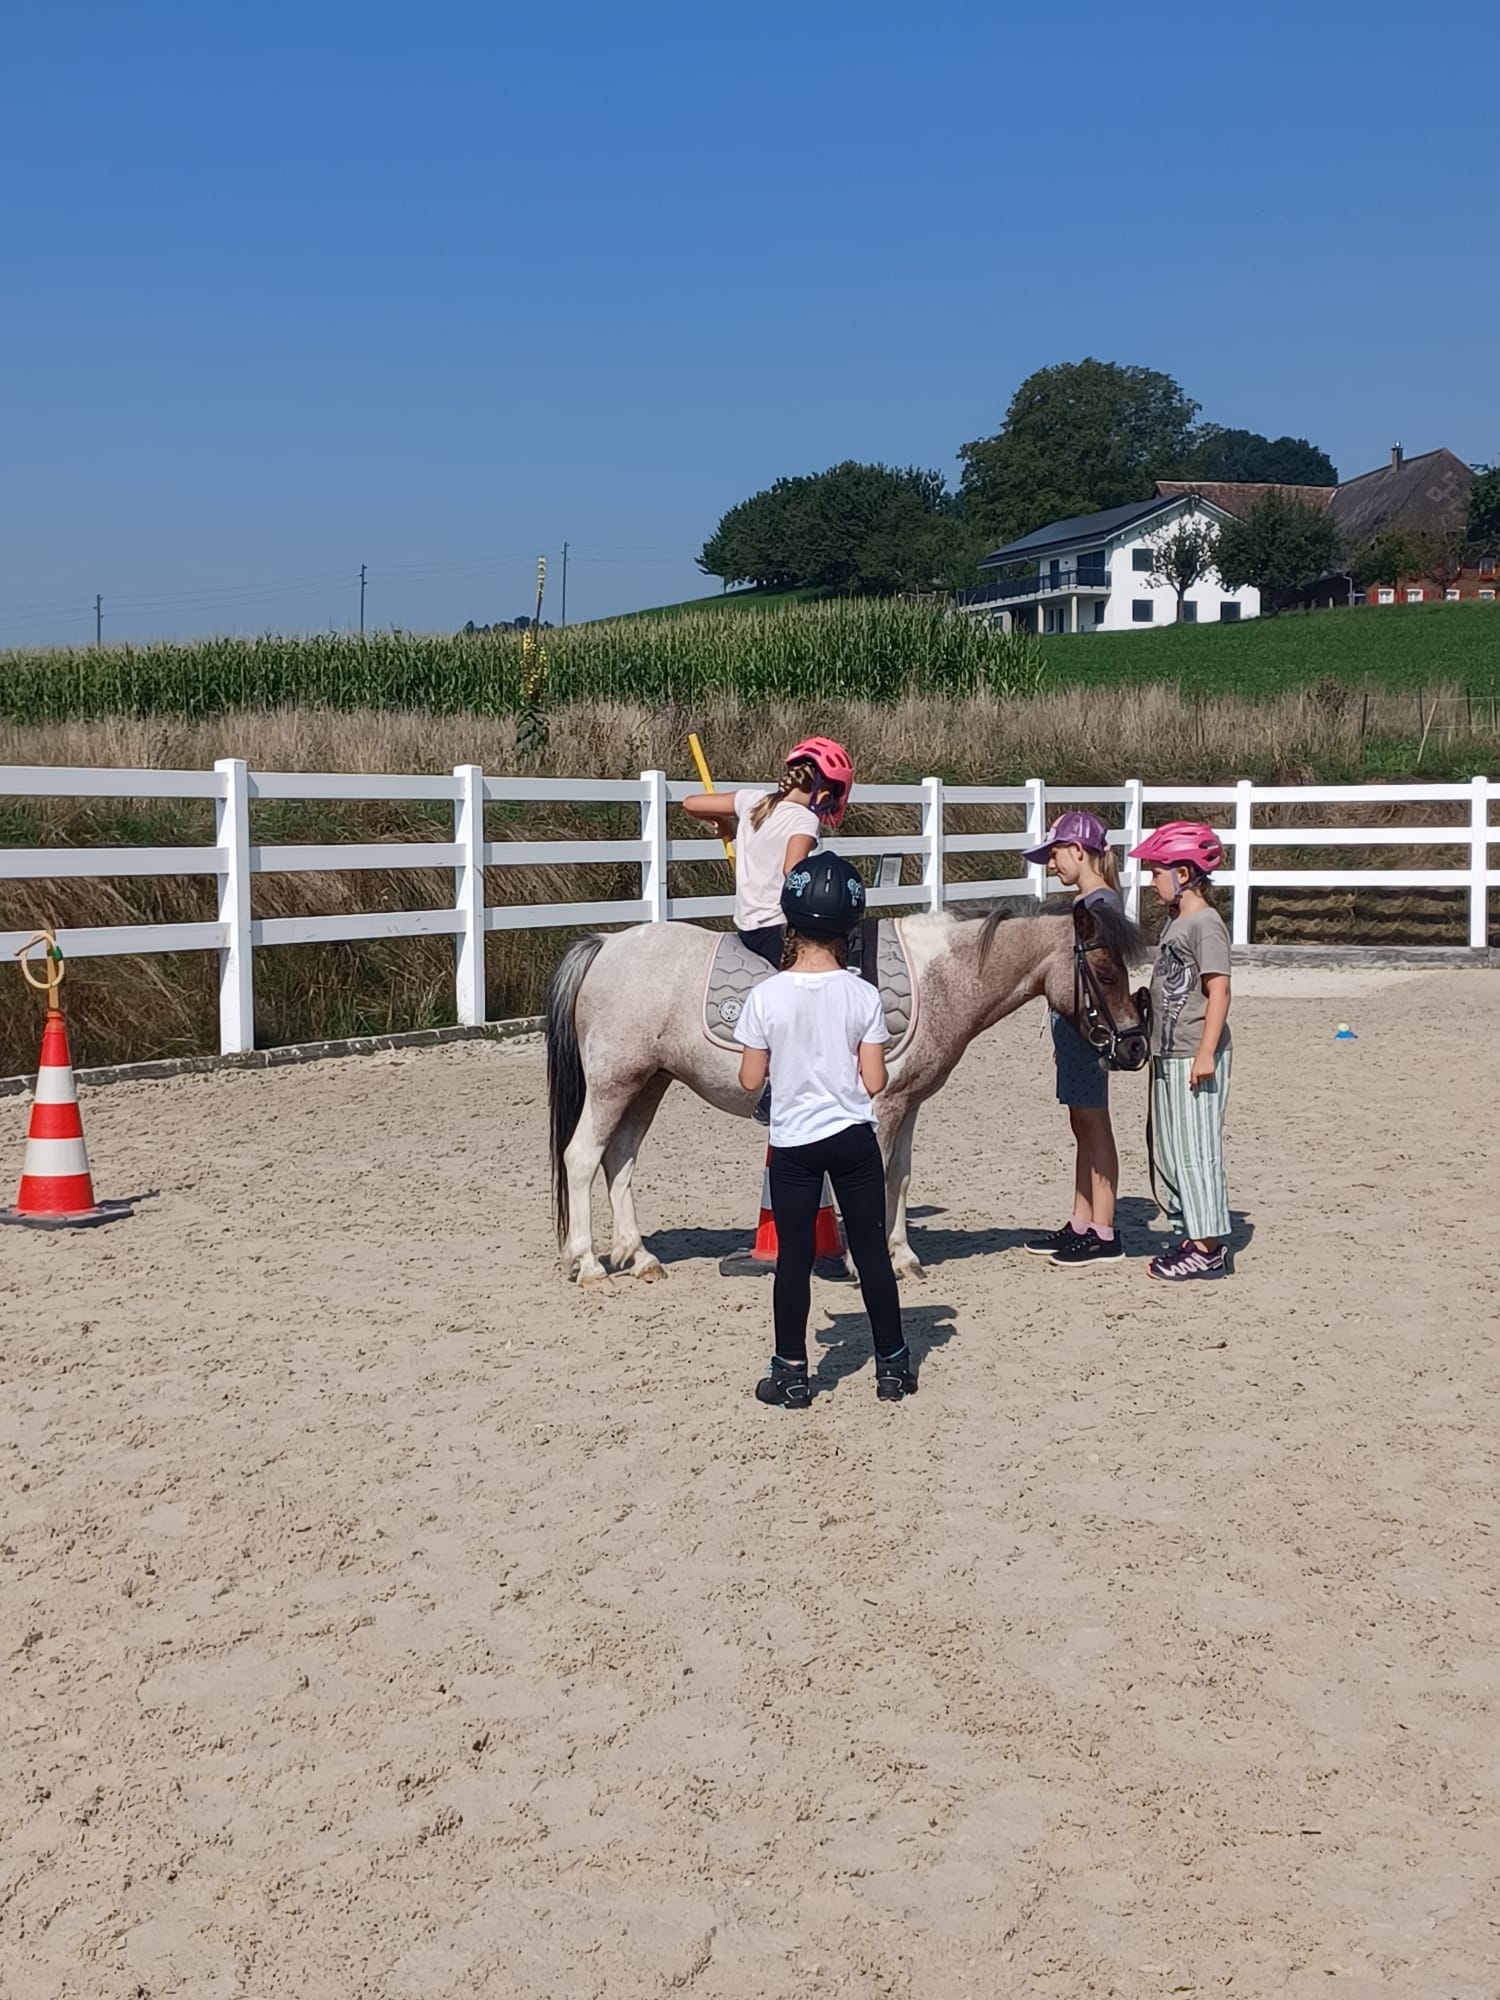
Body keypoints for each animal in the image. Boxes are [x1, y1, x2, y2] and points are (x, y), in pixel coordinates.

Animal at [545, 899, 1149, 1290]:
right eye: (1104, 972)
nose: (1135, 1047)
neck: (939, 977)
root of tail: (605, 946)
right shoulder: (880, 1108)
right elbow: (871, 1180)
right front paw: (866, 1265)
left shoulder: (907, 1104)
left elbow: (898, 1177)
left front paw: (902, 1257)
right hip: (614, 1082)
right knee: (583, 1158)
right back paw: (589, 1264)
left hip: (648, 1083)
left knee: (620, 1159)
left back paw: (639, 1256)